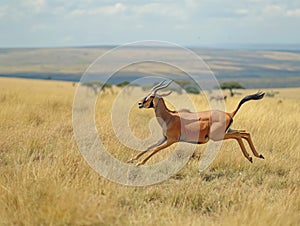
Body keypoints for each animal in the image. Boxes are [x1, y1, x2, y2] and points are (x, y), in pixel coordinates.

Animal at [127, 80, 264, 165]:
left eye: (151, 97)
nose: (140, 103)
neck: (170, 117)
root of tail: (230, 113)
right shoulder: (164, 138)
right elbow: (149, 146)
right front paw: (131, 159)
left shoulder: (171, 140)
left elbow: (156, 149)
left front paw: (139, 163)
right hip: (228, 131)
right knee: (245, 133)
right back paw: (257, 155)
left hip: (217, 136)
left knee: (238, 135)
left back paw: (250, 157)